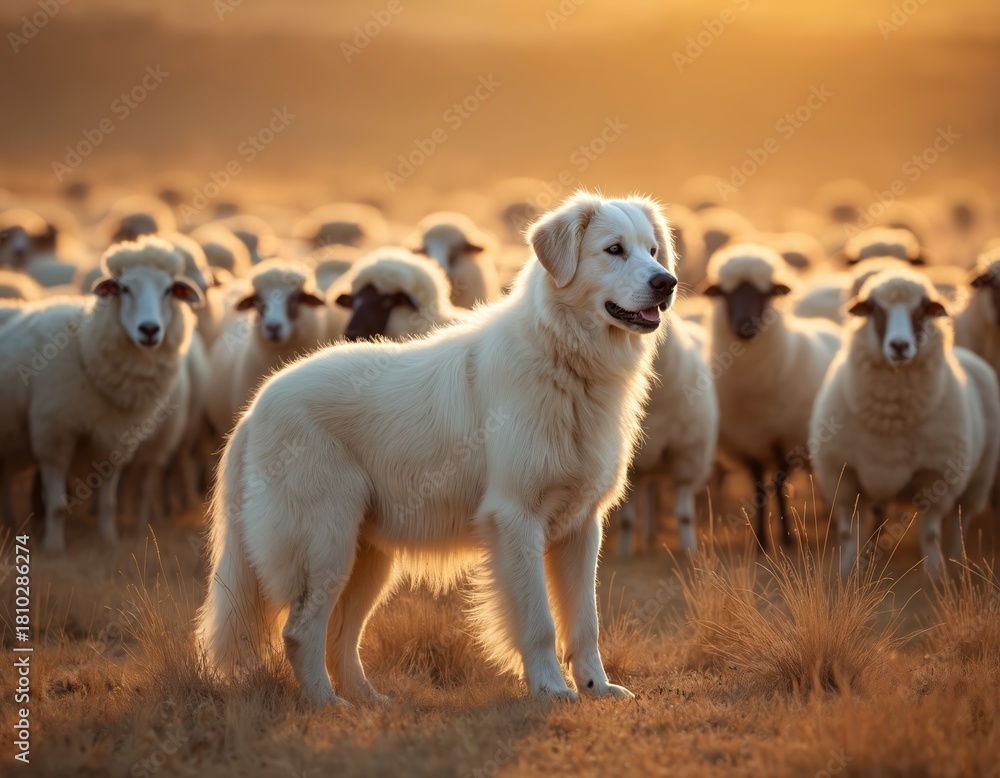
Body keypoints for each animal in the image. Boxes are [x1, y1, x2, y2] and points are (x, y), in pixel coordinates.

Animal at [0, 236, 203, 550]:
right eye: (124, 289)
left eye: (169, 290)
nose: (149, 329)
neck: (85, 349)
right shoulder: (53, 436)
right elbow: (56, 504)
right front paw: (54, 547)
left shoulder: (115, 442)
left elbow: (109, 503)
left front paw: (110, 541)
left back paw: (9, 524)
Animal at [617, 313, 719, 554]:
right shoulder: (629, 465)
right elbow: (627, 520)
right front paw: (624, 552)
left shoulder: (685, 454)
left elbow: (685, 515)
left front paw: (689, 549)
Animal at [701, 243, 841, 549]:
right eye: (725, 294)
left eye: (766, 294)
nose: (746, 325)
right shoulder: (749, 443)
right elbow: (758, 490)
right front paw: (761, 543)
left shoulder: (784, 440)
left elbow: (778, 487)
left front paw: (787, 538)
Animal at [810, 268, 1000, 578]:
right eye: (875, 309)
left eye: (923, 310)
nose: (899, 345)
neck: (892, 419)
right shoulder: (843, 476)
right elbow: (848, 534)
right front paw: (847, 572)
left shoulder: (937, 477)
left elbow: (930, 534)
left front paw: (935, 575)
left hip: (979, 479)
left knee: (961, 522)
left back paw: (957, 561)